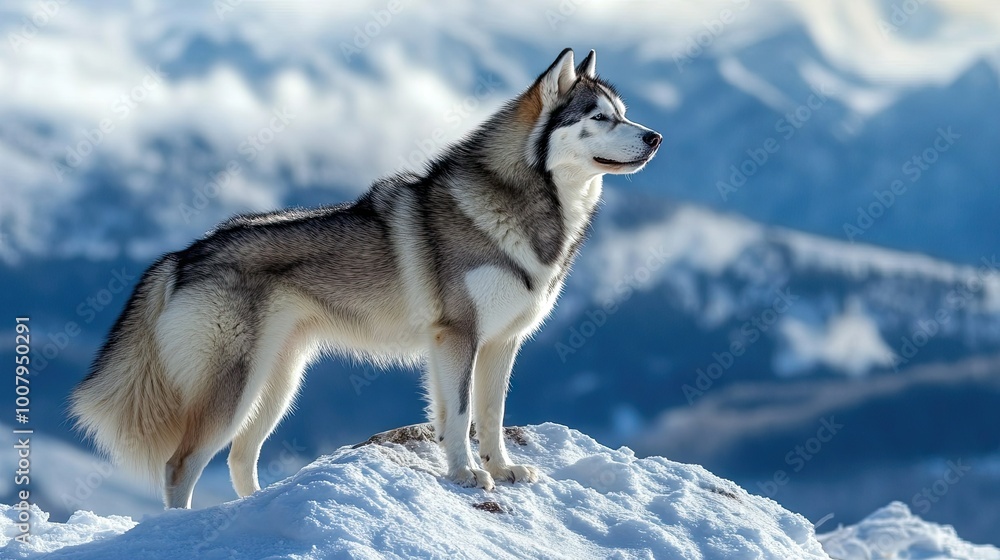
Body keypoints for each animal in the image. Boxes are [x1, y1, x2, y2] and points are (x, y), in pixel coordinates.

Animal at [70, 48, 661, 509]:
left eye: (623, 114)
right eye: (600, 117)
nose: (655, 137)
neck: (534, 209)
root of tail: (183, 252)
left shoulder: (499, 343)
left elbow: (489, 415)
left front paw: (501, 469)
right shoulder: (457, 336)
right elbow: (461, 414)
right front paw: (466, 474)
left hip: (277, 385)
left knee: (240, 457)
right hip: (235, 389)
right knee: (181, 464)